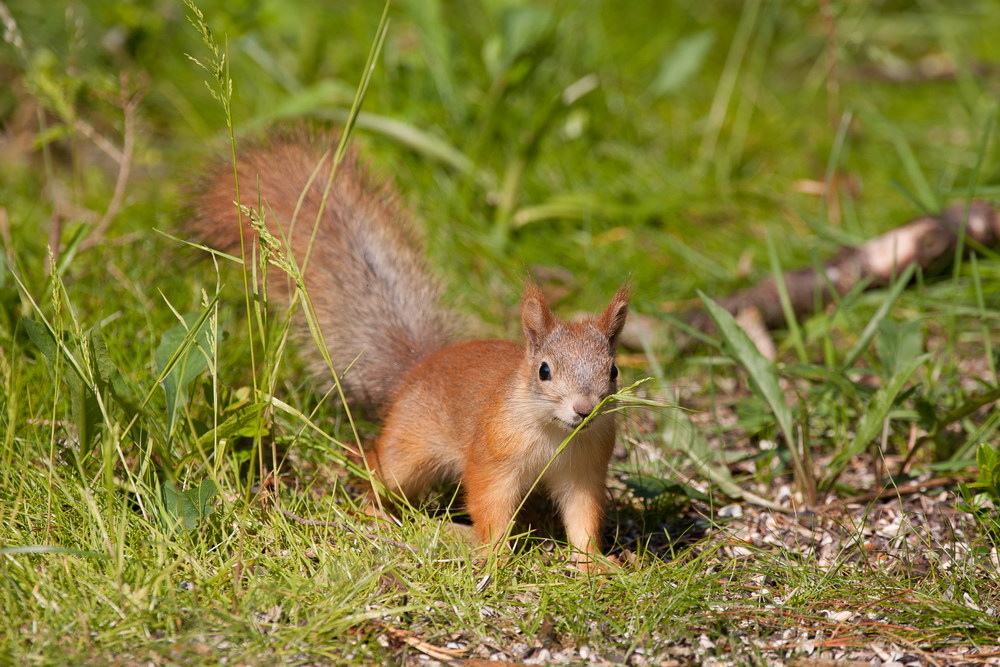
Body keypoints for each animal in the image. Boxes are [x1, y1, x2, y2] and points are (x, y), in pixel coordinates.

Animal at [188, 130, 628, 568]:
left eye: (613, 371)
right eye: (544, 371)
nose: (584, 409)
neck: (554, 433)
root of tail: (420, 367)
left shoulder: (584, 469)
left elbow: (583, 516)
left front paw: (594, 563)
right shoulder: (493, 456)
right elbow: (490, 504)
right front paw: (495, 558)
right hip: (406, 451)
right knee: (378, 474)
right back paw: (378, 515)